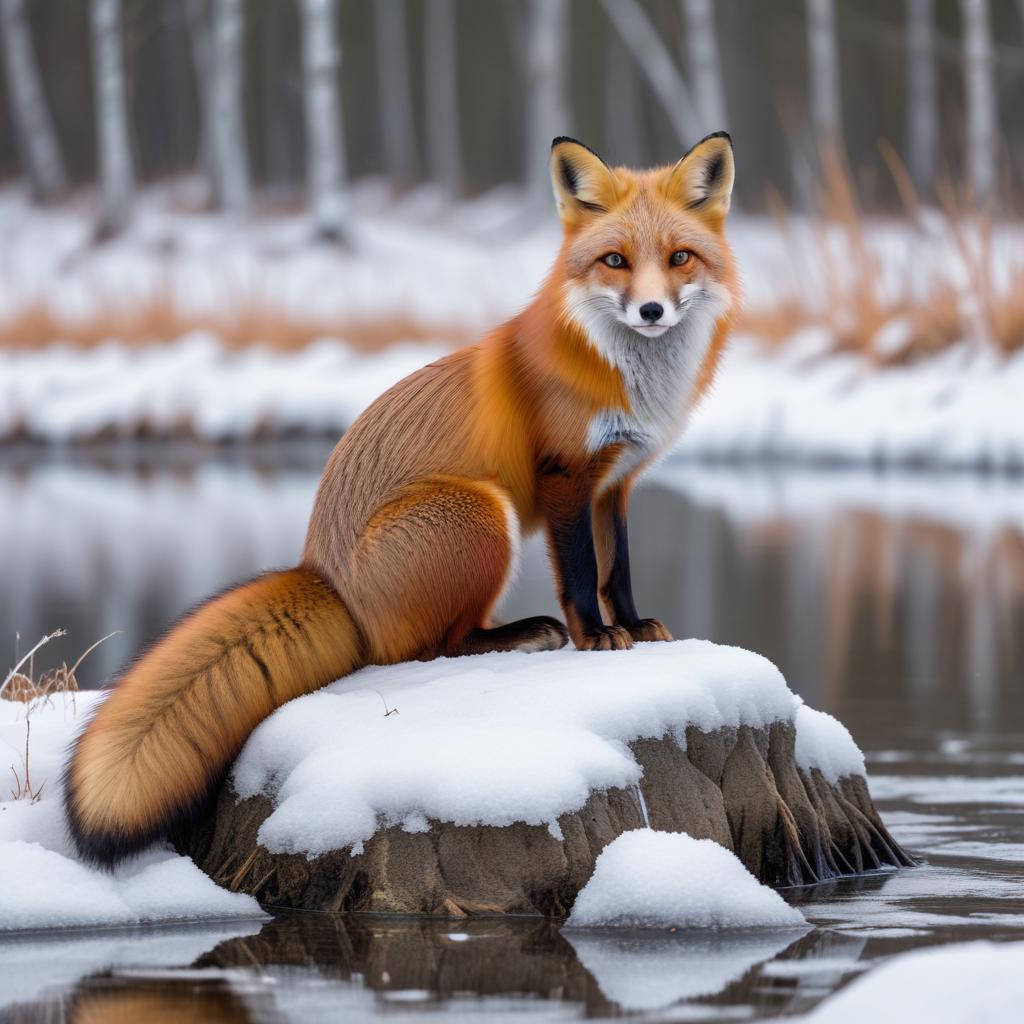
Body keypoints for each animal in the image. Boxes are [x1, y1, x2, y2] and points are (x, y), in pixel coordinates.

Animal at [64, 132, 740, 867]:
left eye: (679, 258)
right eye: (615, 260)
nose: (651, 311)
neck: (624, 378)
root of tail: (323, 573)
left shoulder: (614, 484)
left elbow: (619, 571)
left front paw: (636, 626)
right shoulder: (566, 475)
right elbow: (584, 576)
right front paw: (597, 638)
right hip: (482, 512)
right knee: (429, 650)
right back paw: (522, 634)